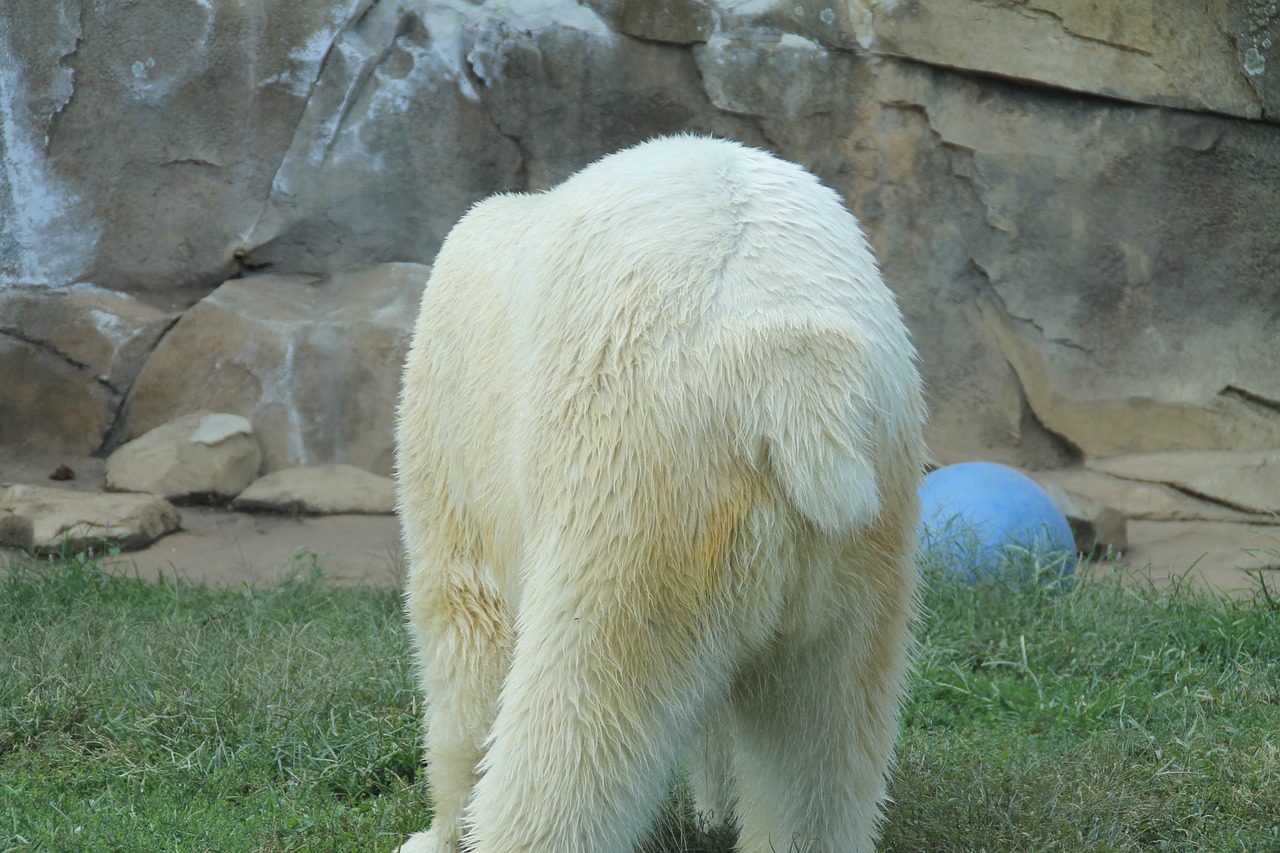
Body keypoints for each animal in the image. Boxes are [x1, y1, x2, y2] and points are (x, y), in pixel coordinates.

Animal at [394, 136, 926, 845]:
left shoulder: (455, 431)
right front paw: (713, 804)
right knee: (819, 739)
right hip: (864, 527)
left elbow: (465, 625)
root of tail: (789, 370)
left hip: (640, 489)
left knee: (582, 706)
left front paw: (437, 832)